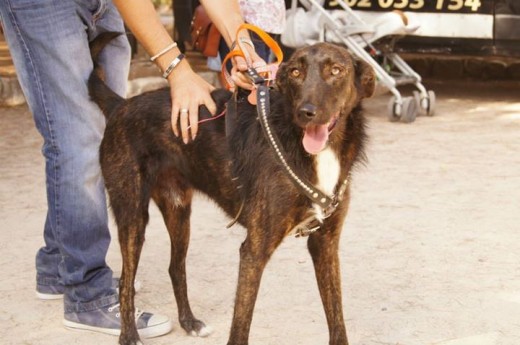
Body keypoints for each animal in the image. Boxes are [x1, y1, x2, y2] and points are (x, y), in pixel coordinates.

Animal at [88, 32, 374, 344]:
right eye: (296, 73)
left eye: (336, 70)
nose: (305, 113)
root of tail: (121, 105)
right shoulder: (253, 250)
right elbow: (241, 324)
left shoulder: (325, 242)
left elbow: (337, 317)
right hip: (132, 214)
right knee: (126, 281)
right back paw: (129, 335)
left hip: (178, 210)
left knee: (175, 268)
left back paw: (190, 322)